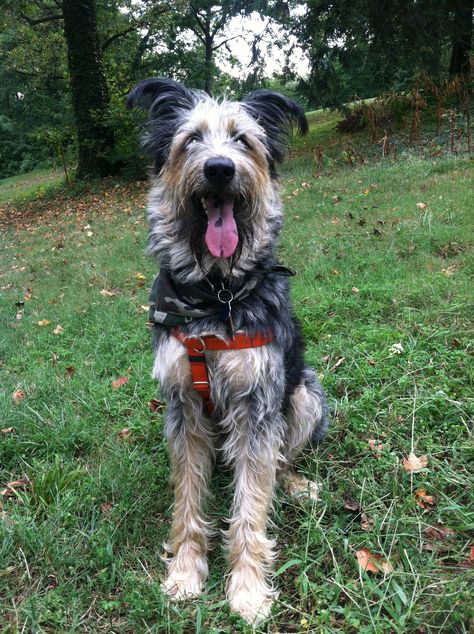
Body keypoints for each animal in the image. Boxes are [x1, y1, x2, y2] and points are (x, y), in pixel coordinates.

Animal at [128, 78, 332, 624]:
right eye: (192, 140)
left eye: (242, 140)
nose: (219, 168)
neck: (216, 296)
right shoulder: (183, 408)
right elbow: (187, 502)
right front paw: (184, 571)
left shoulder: (259, 404)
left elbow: (250, 510)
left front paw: (247, 588)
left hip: (304, 395)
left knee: (279, 462)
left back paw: (295, 484)